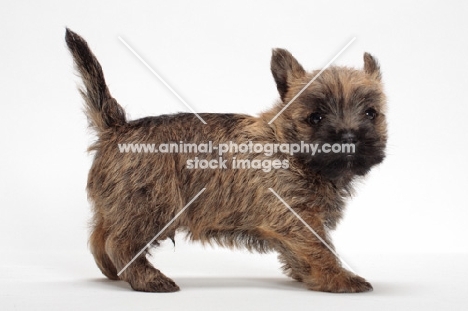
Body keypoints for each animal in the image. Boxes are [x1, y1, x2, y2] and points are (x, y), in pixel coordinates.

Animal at [66, 28, 388, 294]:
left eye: (371, 113)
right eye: (316, 117)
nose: (349, 137)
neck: (287, 145)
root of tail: (117, 128)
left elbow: (302, 251)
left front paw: (308, 275)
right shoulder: (296, 217)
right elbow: (320, 249)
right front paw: (338, 278)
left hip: (120, 205)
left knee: (99, 236)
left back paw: (114, 273)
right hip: (151, 206)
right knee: (120, 243)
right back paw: (148, 279)